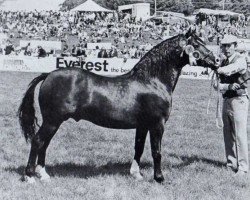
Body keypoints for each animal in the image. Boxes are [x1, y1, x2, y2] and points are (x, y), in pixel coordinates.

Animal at [19, 28, 219, 184]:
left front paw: (136, 174)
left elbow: (139, 148)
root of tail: (48, 75)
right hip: (52, 120)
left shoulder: (143, 125)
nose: (217, 60)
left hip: (53, 122)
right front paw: (159, 178)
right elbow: (156, 151)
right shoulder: (157, 124)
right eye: (197, 45)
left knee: (44, 144)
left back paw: (43, 174)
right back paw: (30, 176)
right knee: (38, 141)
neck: (152, 81)